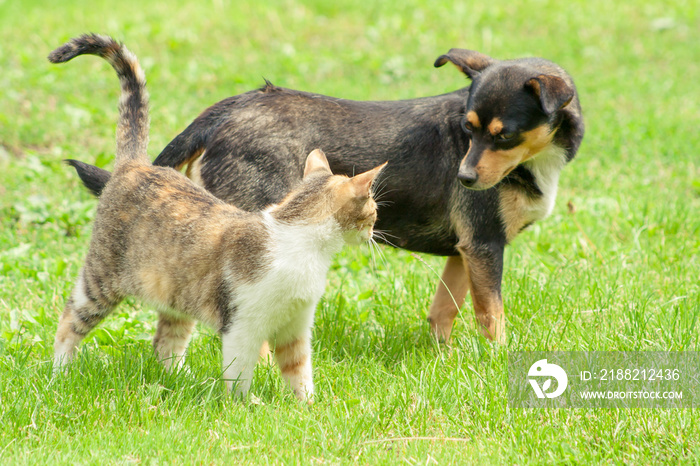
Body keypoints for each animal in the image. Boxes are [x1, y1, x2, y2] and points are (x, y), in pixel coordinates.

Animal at [50, 34, 386, 402]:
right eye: (373, 209)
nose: (375, 230)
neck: (300, 245)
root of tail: (136, 165)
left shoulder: (295, 326)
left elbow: (299, 370)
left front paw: (308, 405)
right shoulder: (242, 325)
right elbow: (240, 372)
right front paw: (245, 404)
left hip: (176, 296)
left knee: (166, 343)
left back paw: (185, 381)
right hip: (102, 278)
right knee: (70, 319)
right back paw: (59, 372)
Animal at [82, 47, 584, 342]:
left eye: (503, 136)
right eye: (469, 128)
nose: (462, 179)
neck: (535, 160)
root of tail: (228, 109)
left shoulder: (465, 252)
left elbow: (445, 312)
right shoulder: (484, 244)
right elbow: (493, 316)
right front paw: (496, 363)